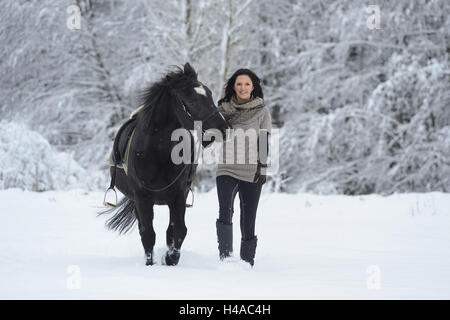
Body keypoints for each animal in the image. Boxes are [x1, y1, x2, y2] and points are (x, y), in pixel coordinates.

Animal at [100, 63, 230, 266]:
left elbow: (178, 230)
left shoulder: (178, 195)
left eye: (209, 93)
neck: (159, 152)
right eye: (190, 100)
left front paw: (170, 259)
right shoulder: (142, 197)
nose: (223, 128)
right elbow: (148, 233)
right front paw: (151, 262)